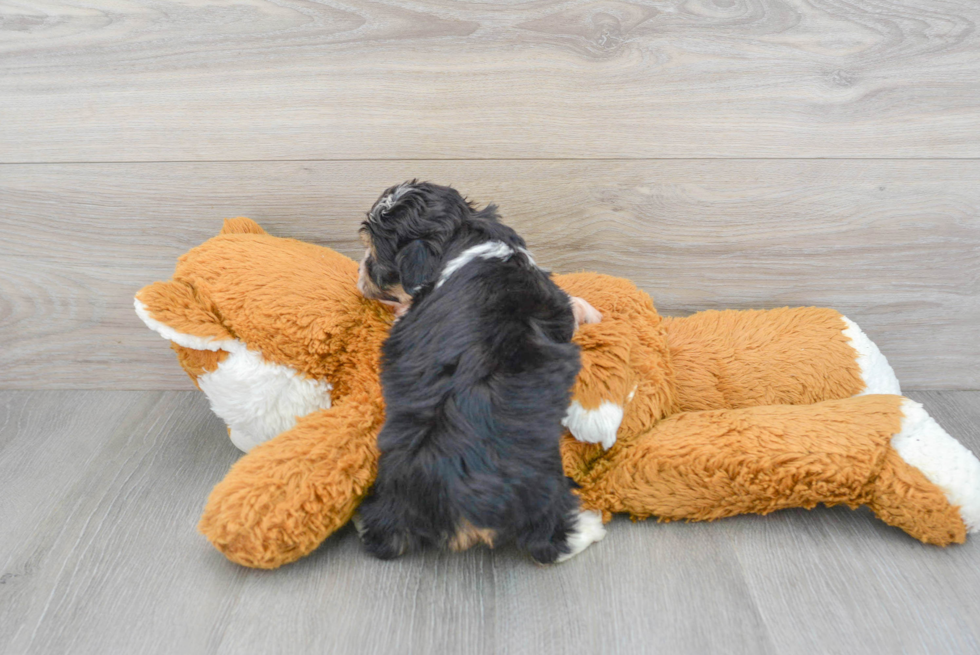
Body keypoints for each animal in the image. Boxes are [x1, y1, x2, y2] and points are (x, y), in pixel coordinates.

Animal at [358, 179, 604, 564]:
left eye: (372, 257)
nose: (360, 272)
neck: (459, 239)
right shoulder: (553, 301)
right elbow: (572, 305)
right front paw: (591, 312)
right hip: (542, 480)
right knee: (548, 541)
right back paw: (589, 528)